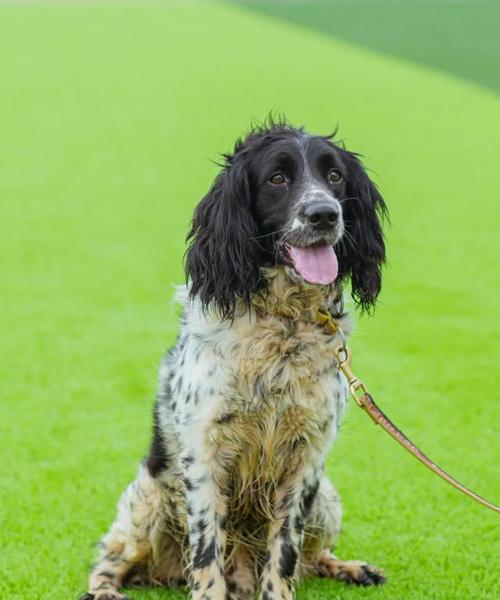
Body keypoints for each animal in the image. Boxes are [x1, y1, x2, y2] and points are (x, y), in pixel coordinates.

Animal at [81, 122, 386, 600]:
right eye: (277, 179)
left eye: (335, 176)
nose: (324, 214)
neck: (282, 323)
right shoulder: (203, 455)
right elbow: (207, 553)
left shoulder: (307, 459)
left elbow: (286, 553)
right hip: (147, 503)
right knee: (111, 557)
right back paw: (105, 590)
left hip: (326, 499)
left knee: (315, 557)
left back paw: (352, 568)